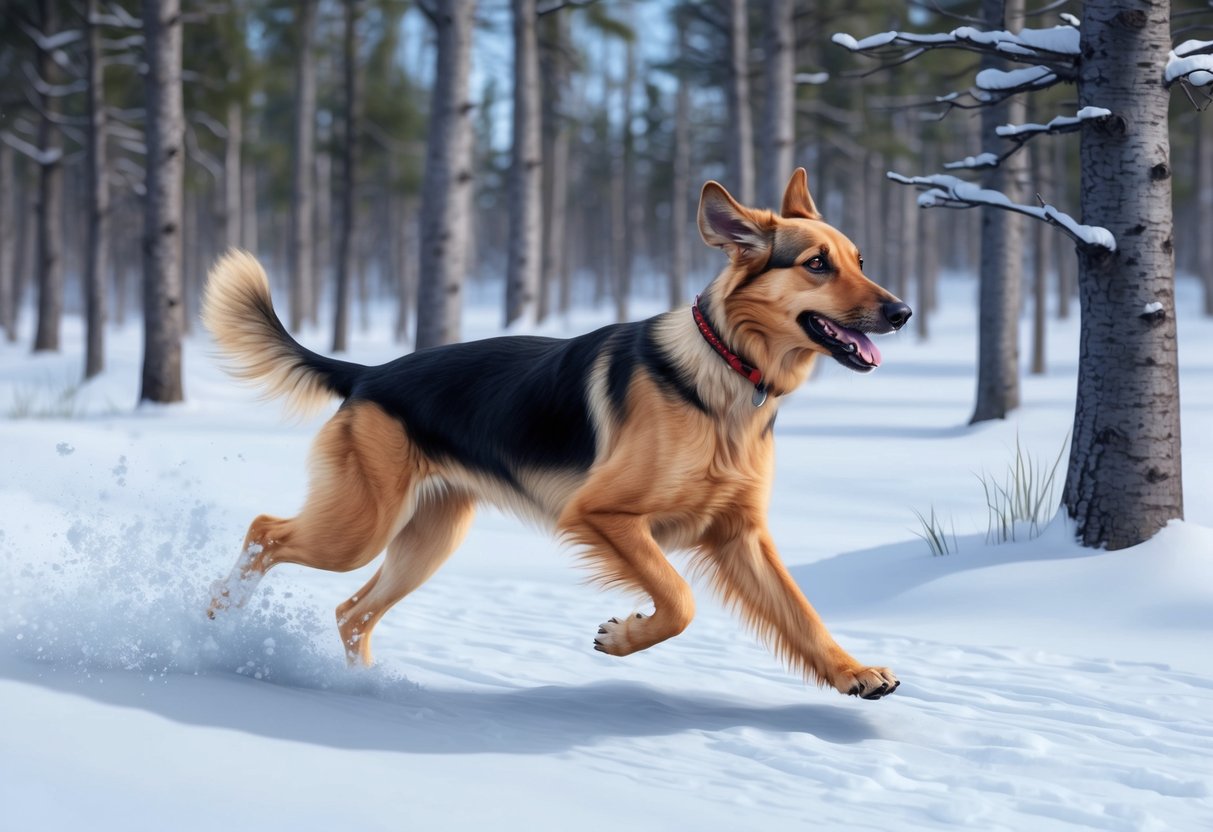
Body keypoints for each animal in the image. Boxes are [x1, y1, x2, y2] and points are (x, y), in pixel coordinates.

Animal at [203, 171, 912, 703]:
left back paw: (365, 689)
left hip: (427, 540)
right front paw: (623, 637)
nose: (903, 311)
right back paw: (213, 618)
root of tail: (370, 373)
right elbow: (679, 600)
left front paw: (852, 672)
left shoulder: (743, 536)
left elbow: (803, 615)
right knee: (266, 532)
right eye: (817, 265)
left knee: (351, 613)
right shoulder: (605, 515)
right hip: (359, 529)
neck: (726, 368)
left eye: (859, 261)